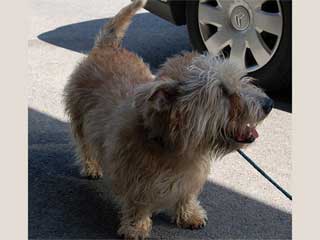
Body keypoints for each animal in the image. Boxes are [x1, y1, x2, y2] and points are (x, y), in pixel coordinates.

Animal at [63, 0, 272, 239]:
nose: (268, 104)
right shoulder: (134, 179)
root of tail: (107, 46)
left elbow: (186, 196)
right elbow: (137, 204)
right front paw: (136, 227)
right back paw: (91, 167)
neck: (175, 147)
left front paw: (189, 214)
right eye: (223, 91)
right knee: (85, 145)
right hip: (81, 120)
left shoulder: (190, 177)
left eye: (239, 80)